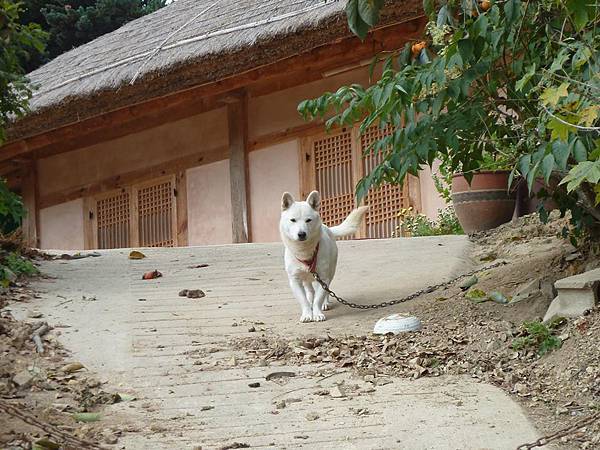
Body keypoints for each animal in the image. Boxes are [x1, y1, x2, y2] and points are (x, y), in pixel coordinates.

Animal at [278, 192, 368, 322]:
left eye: (308, 220)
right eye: (293, 220)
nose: (301, 234)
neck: (305, 251)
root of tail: (328, 228)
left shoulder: (323, 277)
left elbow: (319, 298)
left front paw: (317, 313)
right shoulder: (295, 280)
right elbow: (303, 300)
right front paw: (307, 314)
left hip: (330, 272)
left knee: (326, 290)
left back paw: (325, 303)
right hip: (308, 278)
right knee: (310, 290)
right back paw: (310, 299)